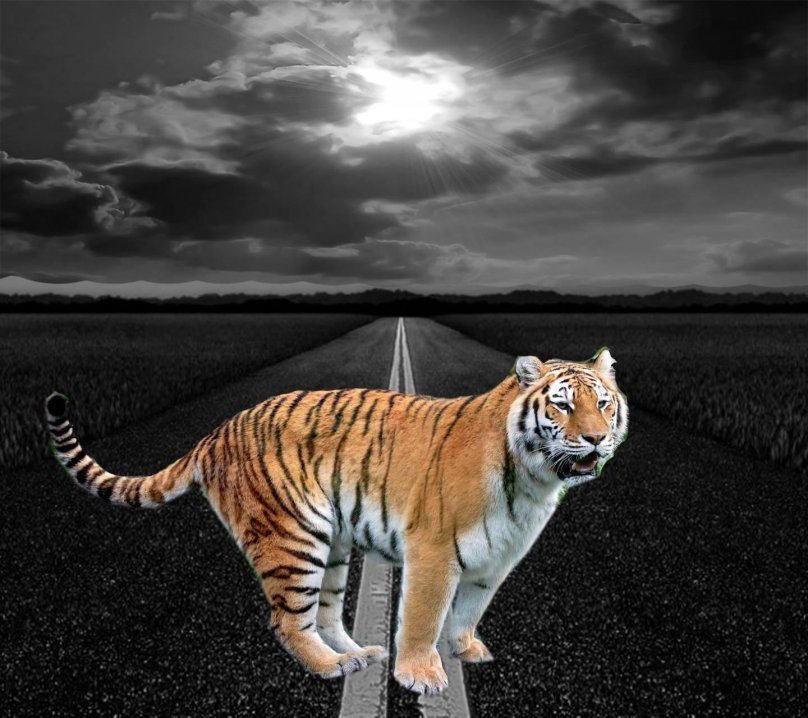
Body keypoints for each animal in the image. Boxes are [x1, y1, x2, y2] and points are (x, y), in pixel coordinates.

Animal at [45, 347, 628, 695]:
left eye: (603, 403)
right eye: (561, 407)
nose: (597, 439)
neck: (534, 480)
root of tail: (217, 432)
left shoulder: (495, 561)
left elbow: (467, 612)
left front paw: (465, 651)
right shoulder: (434, 550)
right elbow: (423, 617)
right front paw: (421, 675)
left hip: (333, 546)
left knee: (324, 615)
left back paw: (359, 654)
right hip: (293, 538)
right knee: (287, 621)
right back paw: (331, 667)